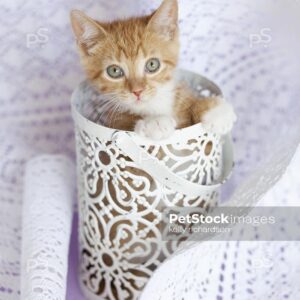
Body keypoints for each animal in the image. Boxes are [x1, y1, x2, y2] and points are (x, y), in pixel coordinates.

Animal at [70, 0, 237, 140]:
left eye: (152, 65)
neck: (154, 104)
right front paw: (155, 122)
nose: (137, 91)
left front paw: (215, 111)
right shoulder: (115, 121)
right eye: (114, 71)